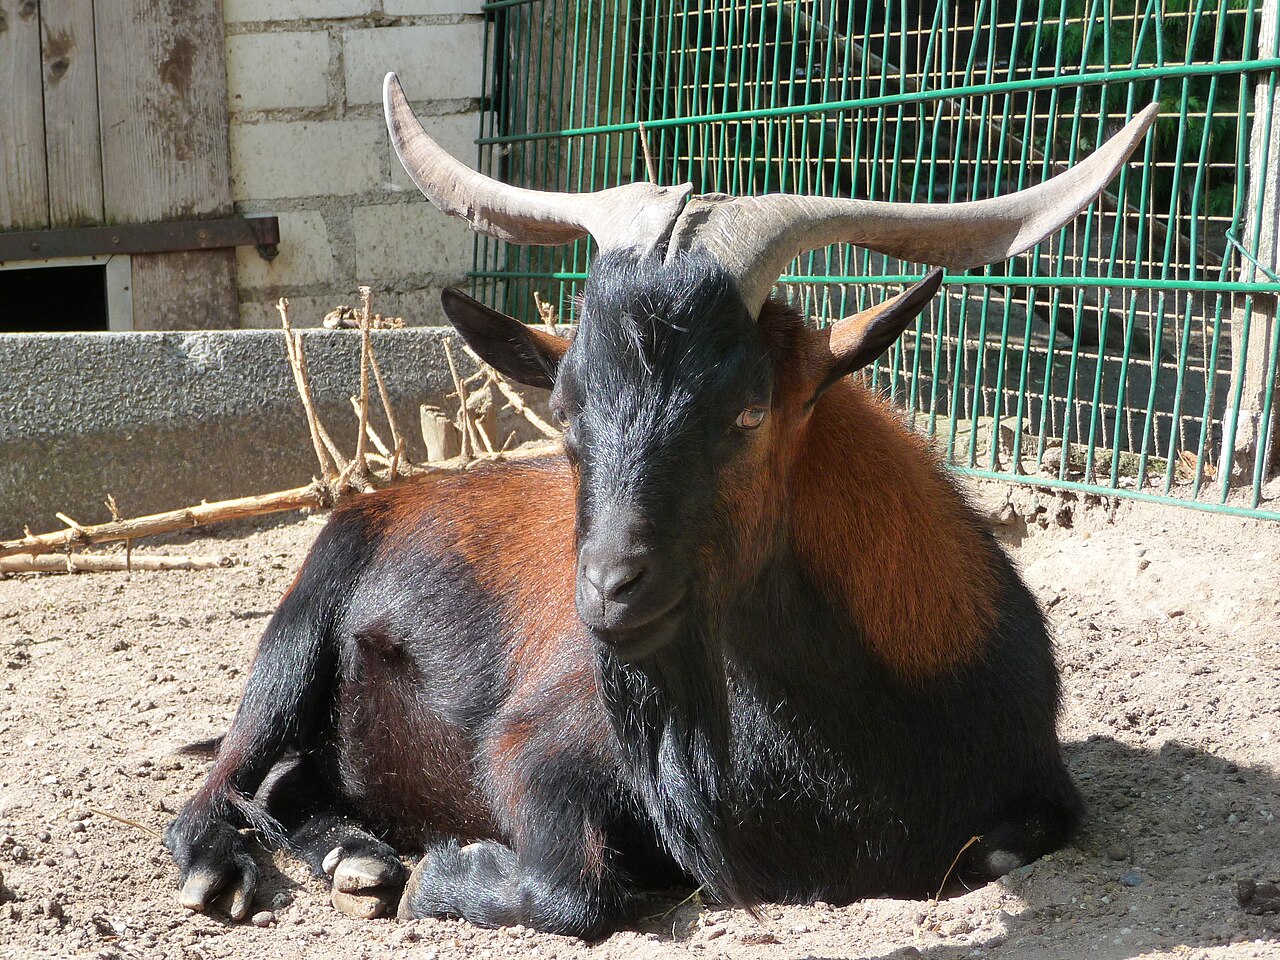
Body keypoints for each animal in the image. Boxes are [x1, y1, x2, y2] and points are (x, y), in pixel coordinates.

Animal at [163, 75, 1158, 937]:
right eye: (566, 410)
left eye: (751, 412)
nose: (608, 591)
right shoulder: (537, 745)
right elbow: (577, 890)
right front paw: (448, 870)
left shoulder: (1036, 794)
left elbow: (996, 851)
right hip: (296, 636)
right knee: (226, 781)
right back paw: (232, 867)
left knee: (287, 782)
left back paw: (354, 857)